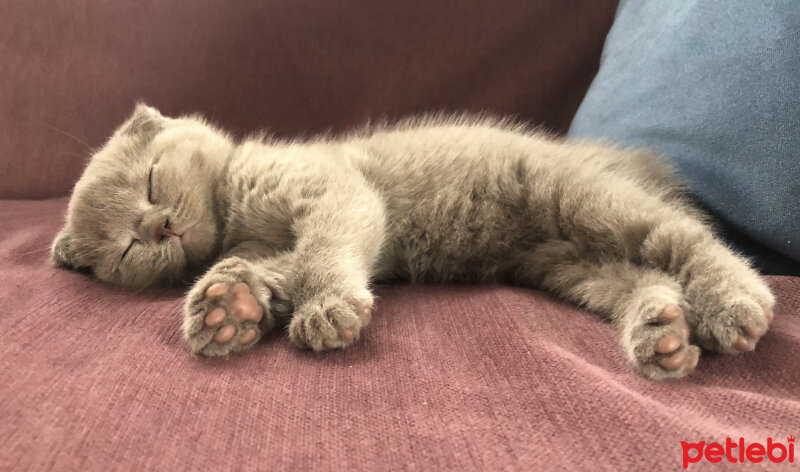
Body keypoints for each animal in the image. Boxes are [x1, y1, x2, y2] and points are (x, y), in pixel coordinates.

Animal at [51, 106, 776, 380]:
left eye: (152, 182)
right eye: (124, 249)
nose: (158, 228)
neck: (233, 212)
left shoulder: (334, 192)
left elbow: (319, 255)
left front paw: (324, 310)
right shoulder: (270, 244)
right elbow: (277, 270)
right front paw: (230, 305)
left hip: (579, 198)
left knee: (685, 238)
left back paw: (734, 303)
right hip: (572, 264)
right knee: (645, 275)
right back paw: (662, 332)